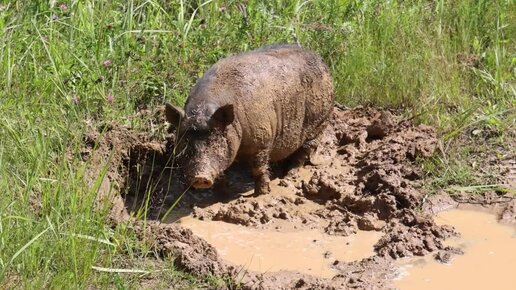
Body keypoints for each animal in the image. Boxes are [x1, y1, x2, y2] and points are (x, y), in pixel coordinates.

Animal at [165, 43, 334, 195]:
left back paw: (289, 175)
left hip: (320, 122)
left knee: (305, 150)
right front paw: (222, 194)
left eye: (215, 140)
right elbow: (224, 171)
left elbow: (258, 169)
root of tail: (322, 62)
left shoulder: (262, 141)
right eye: (185, 141)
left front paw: (262, 193)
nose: (200, 177)